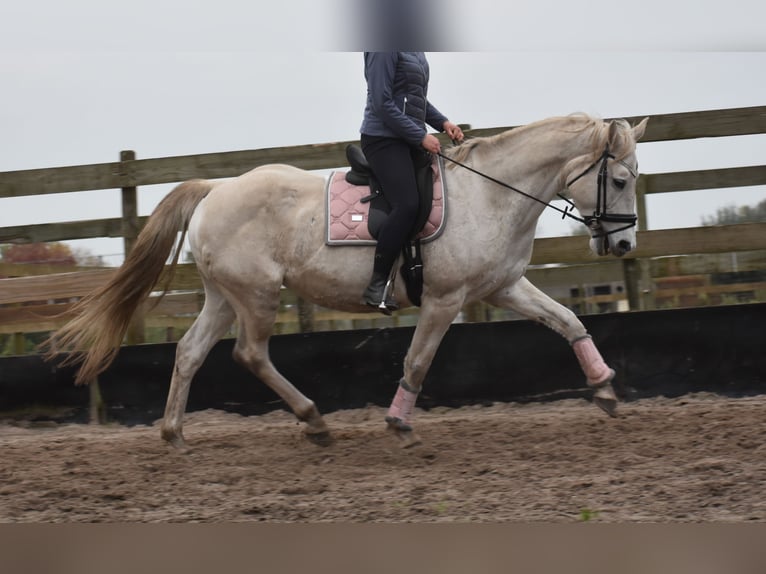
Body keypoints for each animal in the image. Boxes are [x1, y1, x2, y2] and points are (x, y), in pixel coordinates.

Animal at [46, 113, 648, 450]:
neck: (491, 194)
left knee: (191, 352)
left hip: (224, 296)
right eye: (620, 179)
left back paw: (175, 434)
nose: (622, 246)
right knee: (249, 354)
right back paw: (313, 420)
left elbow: (567, 320)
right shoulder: (444, 299)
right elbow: (417, 362)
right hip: (256, 296)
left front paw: (605, 388)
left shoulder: (501, 288)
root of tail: (216, 189)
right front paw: (399, 424)